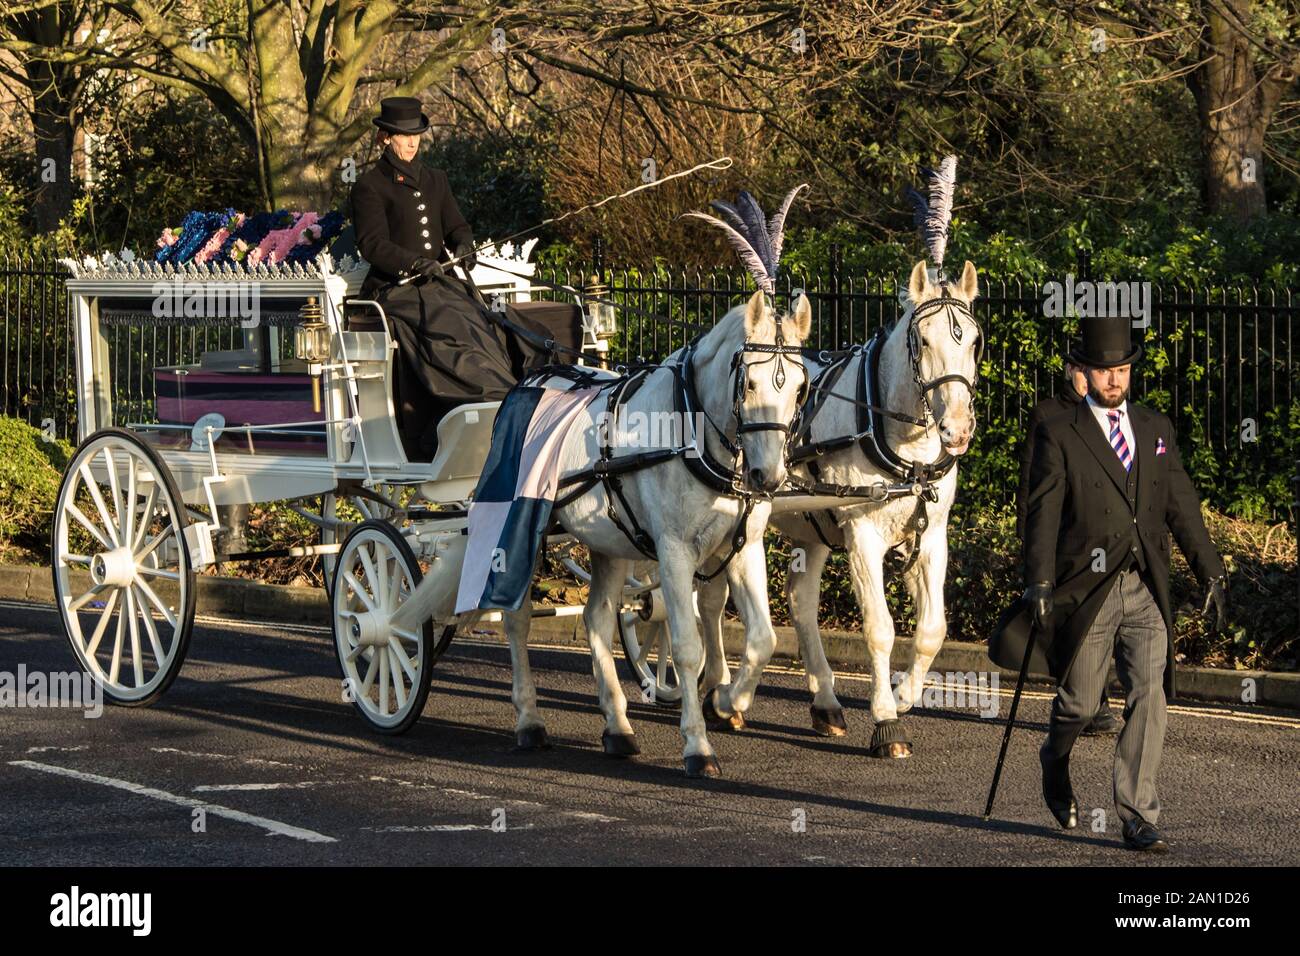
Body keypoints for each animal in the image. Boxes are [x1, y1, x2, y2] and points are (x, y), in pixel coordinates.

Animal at [501, 290, 806, 780]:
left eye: (799, 388)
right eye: (750, 384)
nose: (769, 476)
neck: (692, 426)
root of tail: (532, 377)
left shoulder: (745, 549)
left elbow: (763, 639)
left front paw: (726, 701)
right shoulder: (675, 552)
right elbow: (686, 647)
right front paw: (697, 744)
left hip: (608, 542)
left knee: (598, 619)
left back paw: (617, 725)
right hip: (519, 531)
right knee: (517, 619)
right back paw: (529, 719)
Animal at [696, 260, 977, 754]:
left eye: (974, 340)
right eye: (924, 341)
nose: (958, 429)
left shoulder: (931, 536)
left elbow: (932, 630)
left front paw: (904, 695)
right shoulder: (863, 536)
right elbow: (880, 628)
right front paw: (886, 719)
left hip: (810, 527)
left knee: (799, 600)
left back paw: (824, 701)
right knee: (710, 601)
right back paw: (715, 685)